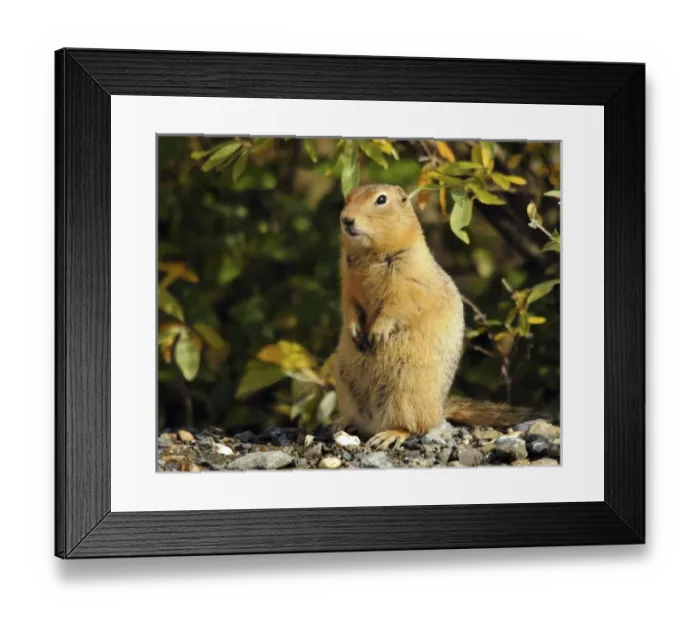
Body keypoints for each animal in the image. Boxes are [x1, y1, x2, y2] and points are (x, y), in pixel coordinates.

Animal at [333, 183, 532, 451]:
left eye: (381, 200)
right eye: (348, 197)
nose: (346, 219)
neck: (371, 254)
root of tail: (439, 409)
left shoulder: (408, 279)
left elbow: (396, 307)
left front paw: (377, 332)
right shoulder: (347, 280)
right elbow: (349, 306)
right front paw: (355, 330)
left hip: (407, 389)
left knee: (417, 426)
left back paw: (390, 435)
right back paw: (342, 421)